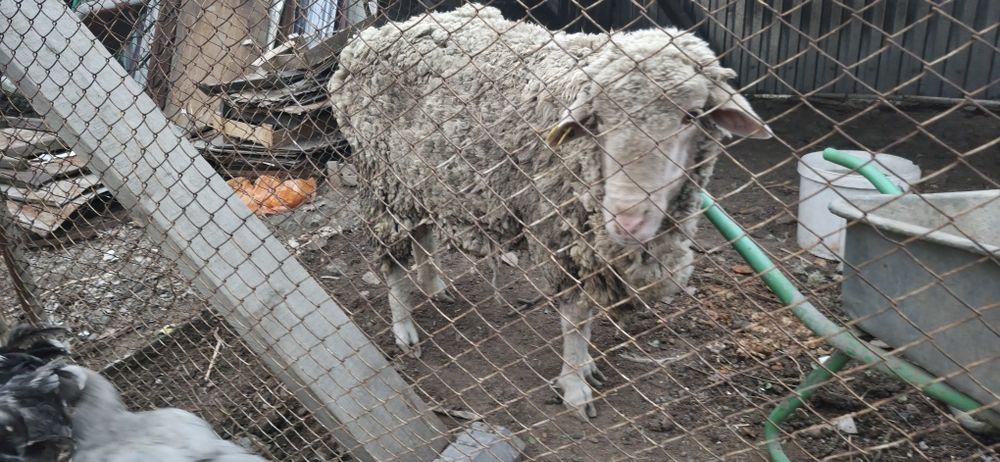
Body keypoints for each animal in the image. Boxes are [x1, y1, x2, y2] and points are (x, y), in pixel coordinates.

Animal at [328, 3, 771, 420]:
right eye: (598, 118)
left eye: (692, 115)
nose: (626, 221)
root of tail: (373, 35)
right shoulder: (564, 232)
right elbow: (575, 317)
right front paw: (575, 387)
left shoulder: (590, 245)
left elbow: (587, 315)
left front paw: (586, 365)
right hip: (383, 177)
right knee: (393, 256)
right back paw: (404, 327)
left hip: (419, 174)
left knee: (422, 231)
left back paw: (434, 285)